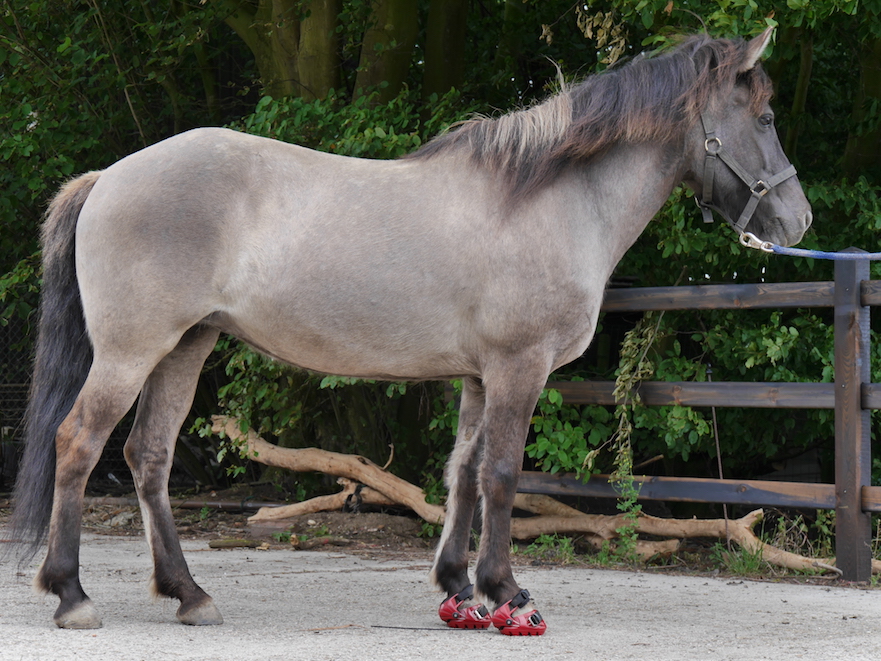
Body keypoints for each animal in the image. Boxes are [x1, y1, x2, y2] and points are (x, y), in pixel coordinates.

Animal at [8, 28, 812, 632]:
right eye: (765, 119)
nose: (798, 222)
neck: (549, 199)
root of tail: (109, 178)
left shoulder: (479, 375)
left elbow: (462, 472)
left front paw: (458, 586)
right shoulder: (519, 368)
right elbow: (501, 473)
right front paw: (507, 592)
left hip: (184, 347)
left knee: (147, 456)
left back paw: (189, 593)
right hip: (130, 352)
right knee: (79, 443)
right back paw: (72, 594)